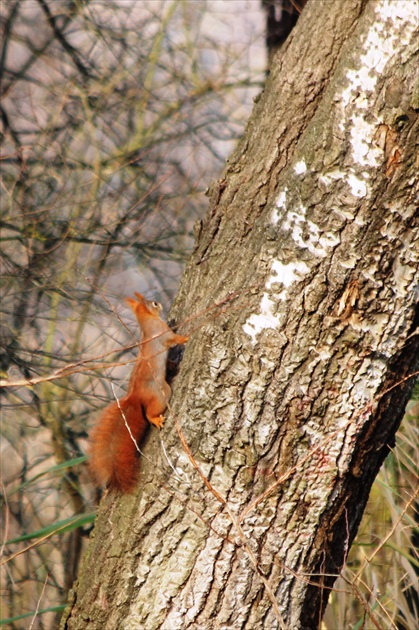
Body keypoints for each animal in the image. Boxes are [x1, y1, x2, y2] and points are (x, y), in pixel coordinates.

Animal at [90, 292, 189, 494]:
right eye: (154, 303)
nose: (160, 305)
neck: (147, 321)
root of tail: (135, 396)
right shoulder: (163, 333)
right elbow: (174, 338)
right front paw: (185, 337)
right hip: (162, 393)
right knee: (150, 413)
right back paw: (156, 419)